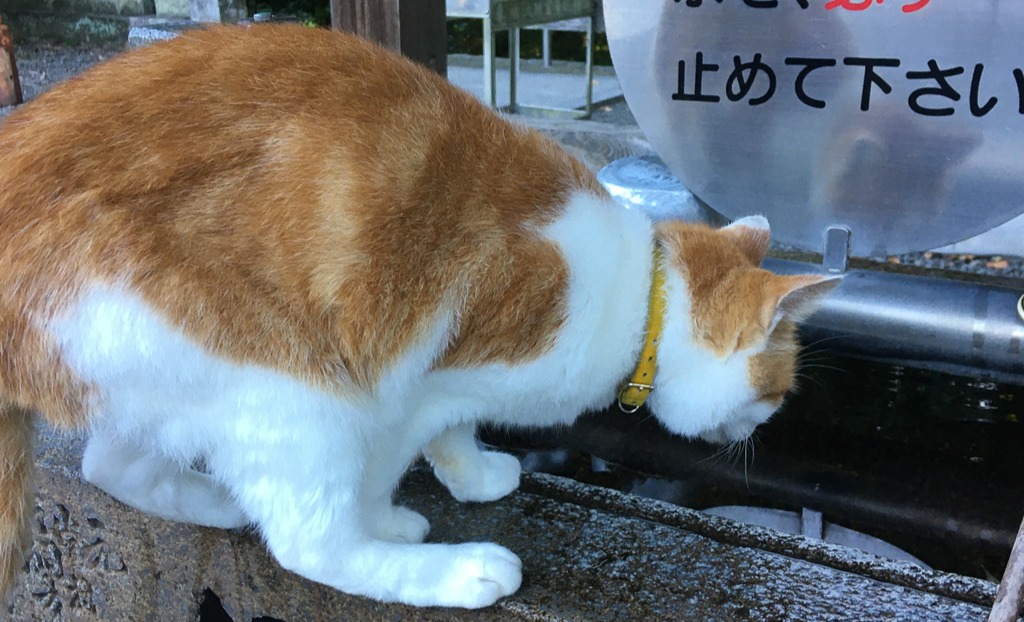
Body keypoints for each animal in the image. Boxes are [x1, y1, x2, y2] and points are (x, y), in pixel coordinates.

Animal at [0, 24, 835, 606]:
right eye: (776, 392)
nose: (763, 427)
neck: (644, 296)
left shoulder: (445, 382)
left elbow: (452, 433)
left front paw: (476, 475)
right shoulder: (411, 375)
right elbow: (391, 461)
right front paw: (394, 517)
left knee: (111, 464)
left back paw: (218, 503)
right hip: (284, 383)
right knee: (308, 541)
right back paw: (452, 571)